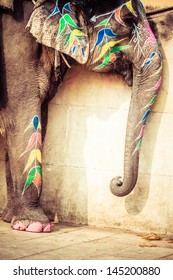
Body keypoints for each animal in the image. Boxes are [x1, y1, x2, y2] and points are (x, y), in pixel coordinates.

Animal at [0, 0, 162, 232]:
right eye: (128, 20)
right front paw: (35, 225)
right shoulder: (14, 41)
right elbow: (23, 112)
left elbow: (34, 117)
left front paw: (11, 218)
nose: (117, 180)